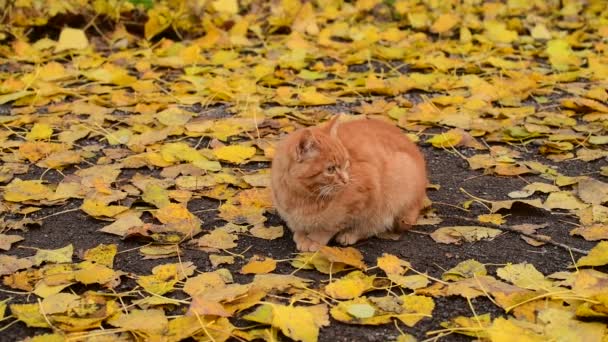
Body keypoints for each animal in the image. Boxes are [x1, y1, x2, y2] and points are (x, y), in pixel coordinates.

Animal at [270, 115, 428, 251]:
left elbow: (331, 225)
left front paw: (315, 239)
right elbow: (299, 226)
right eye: (330, 169)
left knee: (376, 225)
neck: (302, 197)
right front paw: (301, 235)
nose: (346, 180)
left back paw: (349, 235)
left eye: (346, 162)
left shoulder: (365, 194)